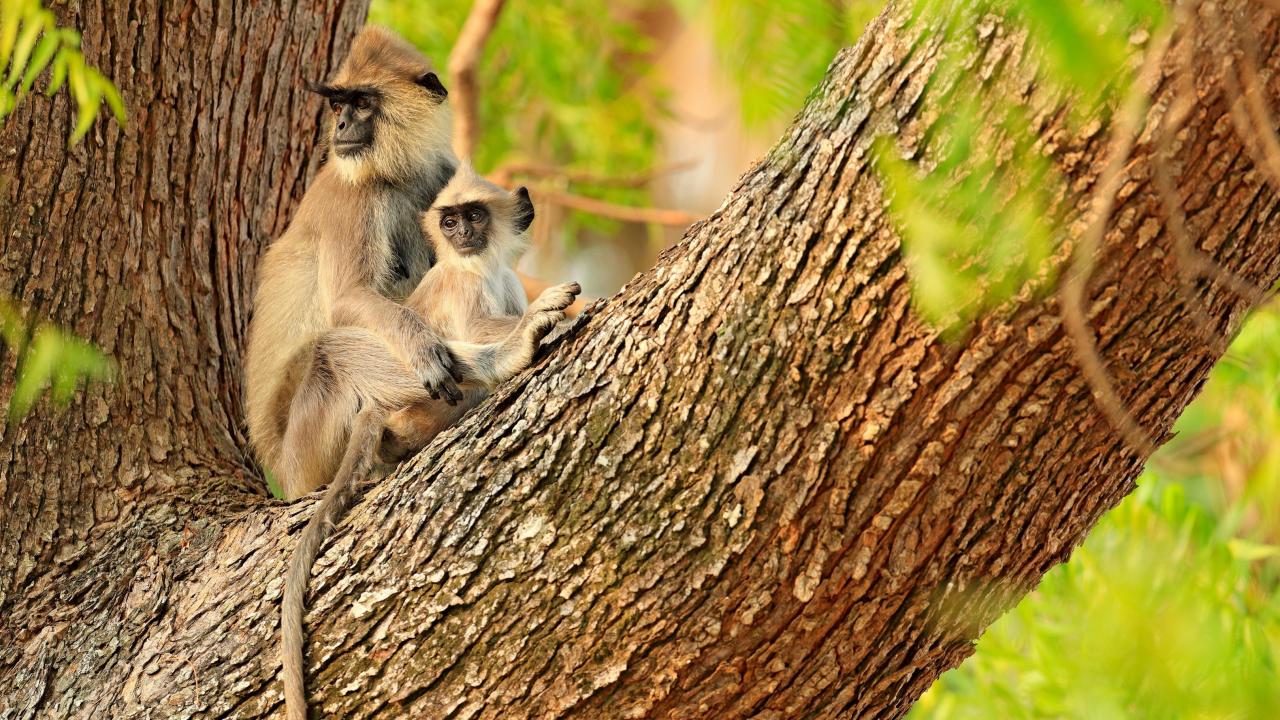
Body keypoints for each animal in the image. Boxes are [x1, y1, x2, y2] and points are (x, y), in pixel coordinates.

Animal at [376, 165, 583, 458]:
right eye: (450, 223)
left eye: (474, 216)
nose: (463, 233)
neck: (479, 267)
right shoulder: (463, 282)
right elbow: (476, 330)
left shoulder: (507, 278)